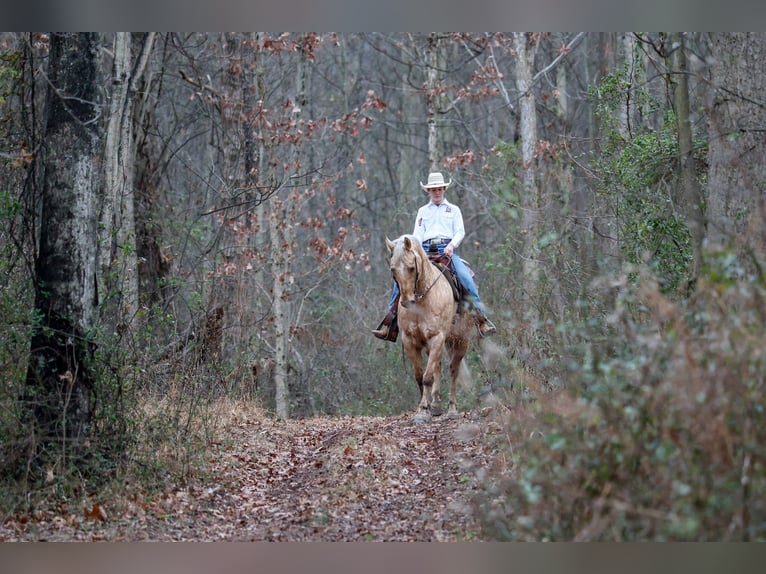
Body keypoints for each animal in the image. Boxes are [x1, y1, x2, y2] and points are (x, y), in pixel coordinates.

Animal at [386, 234, 474, 423]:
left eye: (411, 268)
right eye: (393, 270)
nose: (407, 302)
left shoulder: (437, 337)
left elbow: (427, 378)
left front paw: (422, 412)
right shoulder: (411, 341)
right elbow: (420, 376)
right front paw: (424, 408)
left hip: (461, 341)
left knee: (453, 370)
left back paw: (451, 410)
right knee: (438, 368)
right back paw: (435, 406)